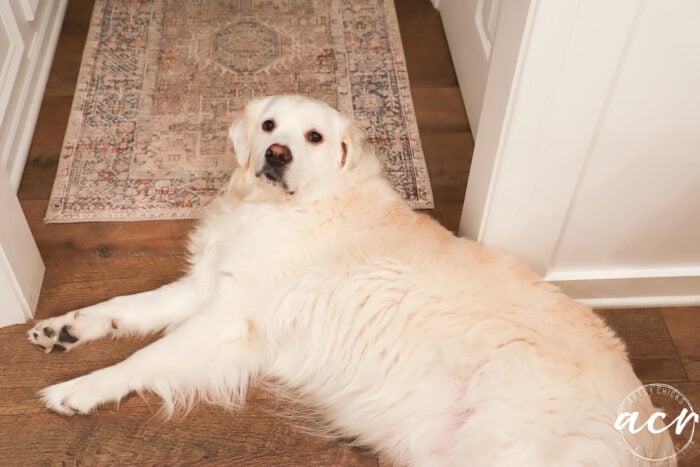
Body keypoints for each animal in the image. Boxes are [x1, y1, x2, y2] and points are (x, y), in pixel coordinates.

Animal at [30, 96, 676, 467]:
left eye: (313, 138)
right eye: (269, 125)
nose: (276, 153)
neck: (285, 206)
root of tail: (650, 433)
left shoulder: (231, 318)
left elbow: (146, 356)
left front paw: (80, 388)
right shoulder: (209, 287)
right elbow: (125, 306)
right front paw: (65, 329)